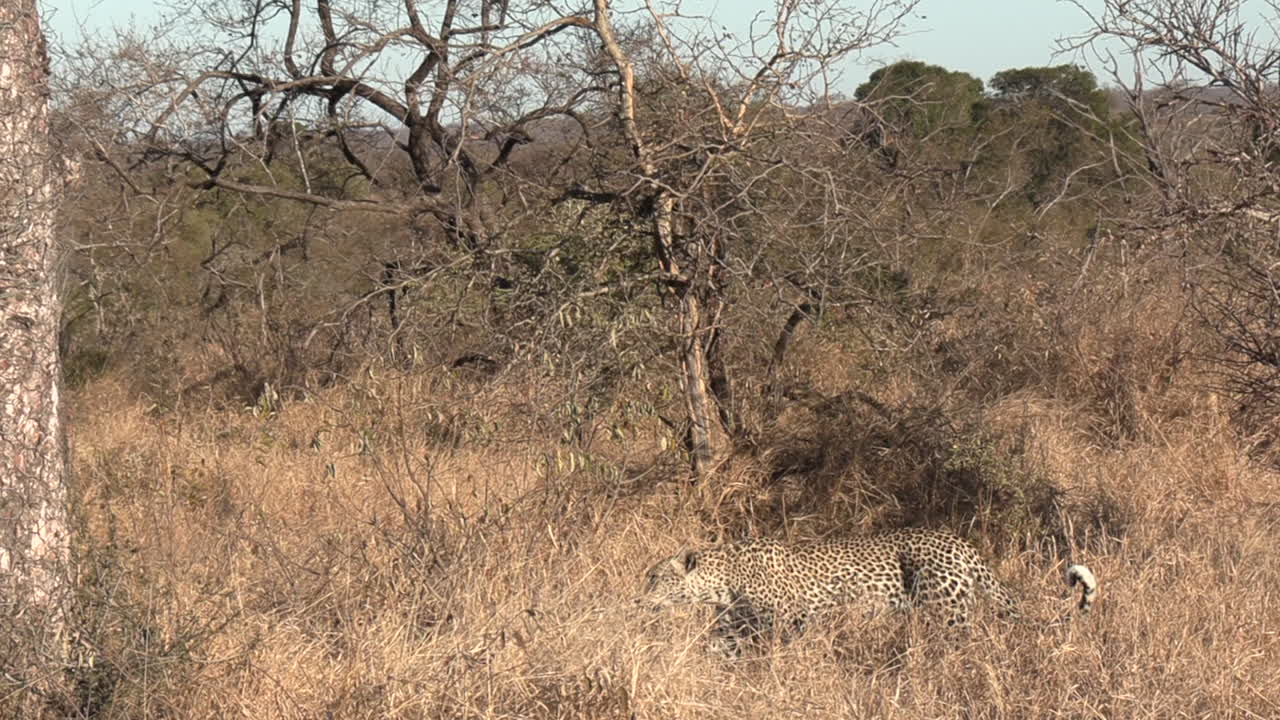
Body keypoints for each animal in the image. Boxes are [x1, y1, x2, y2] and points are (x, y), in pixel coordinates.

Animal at [639, 527, 1097, 656]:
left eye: (655, 577)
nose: (638, 599)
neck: (722, 582)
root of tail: (960, 542)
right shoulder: (732, 628)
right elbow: (715, 650)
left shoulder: (793, 619)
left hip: (946, 613)